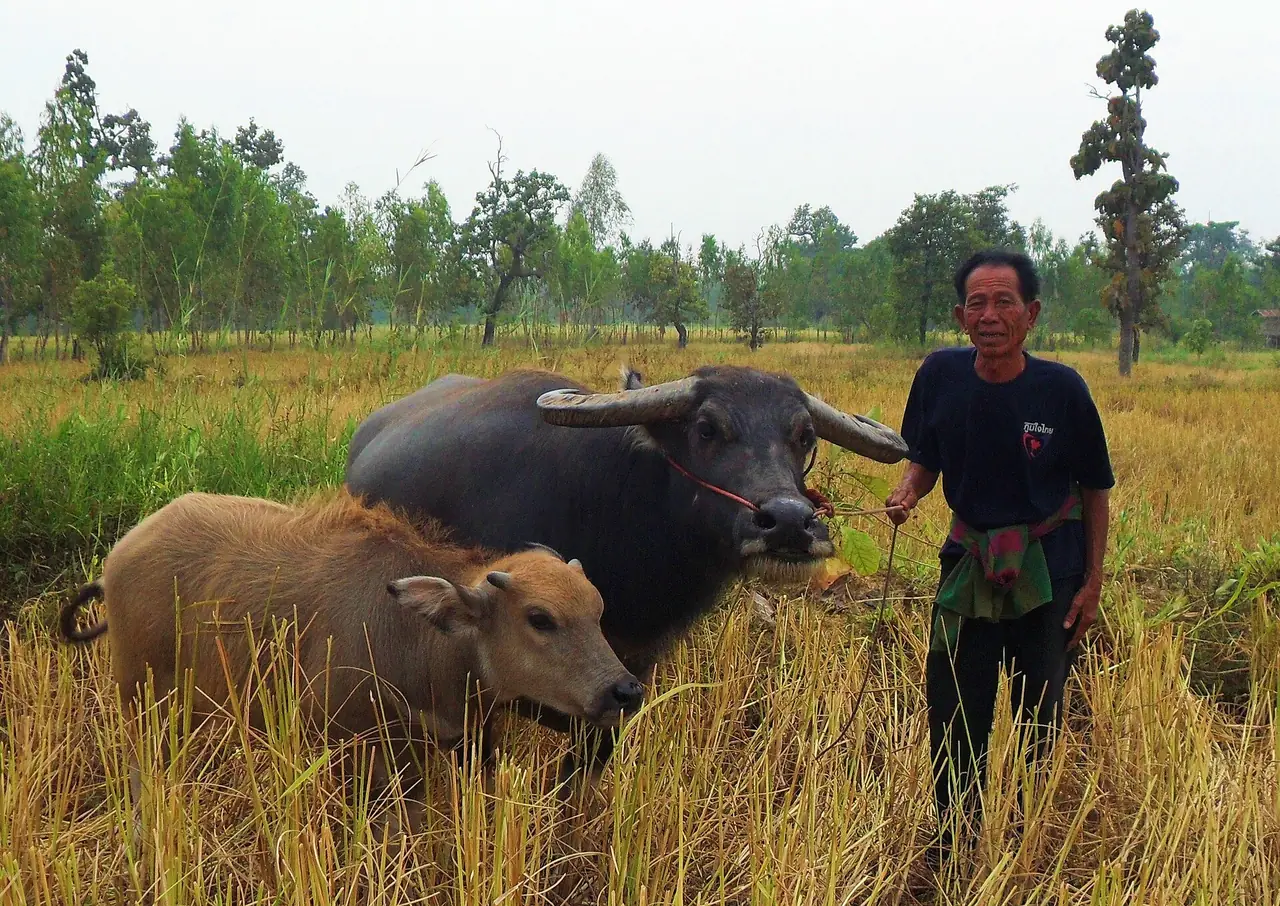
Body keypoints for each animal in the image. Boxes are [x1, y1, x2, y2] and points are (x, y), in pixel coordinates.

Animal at [58, 488, 641, 839]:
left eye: (597, 611)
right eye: (540, 618)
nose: (626, 691)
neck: (420, 639)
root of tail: (118, 559)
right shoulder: (350, 747)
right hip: (141, 698)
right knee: (142, 769)